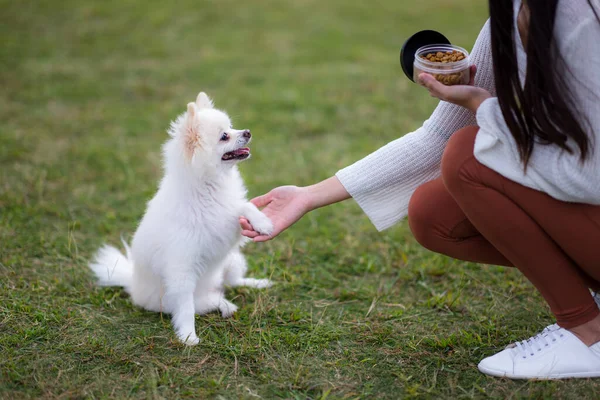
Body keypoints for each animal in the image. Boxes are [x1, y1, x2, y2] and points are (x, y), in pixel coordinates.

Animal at [89, 91, 274, 344]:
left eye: (231, 126)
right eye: (224, 136)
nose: (247, 132)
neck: (209, 186)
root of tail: (133, 285)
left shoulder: (227, 222)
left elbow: (244, 207)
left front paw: (263, 223)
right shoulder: (182, 269)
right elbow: (186, 309)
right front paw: (188, 336)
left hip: (233, 260)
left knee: (233, 281)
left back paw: (257, 284)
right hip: (185, 296)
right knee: (209, 300)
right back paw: (225, 305)